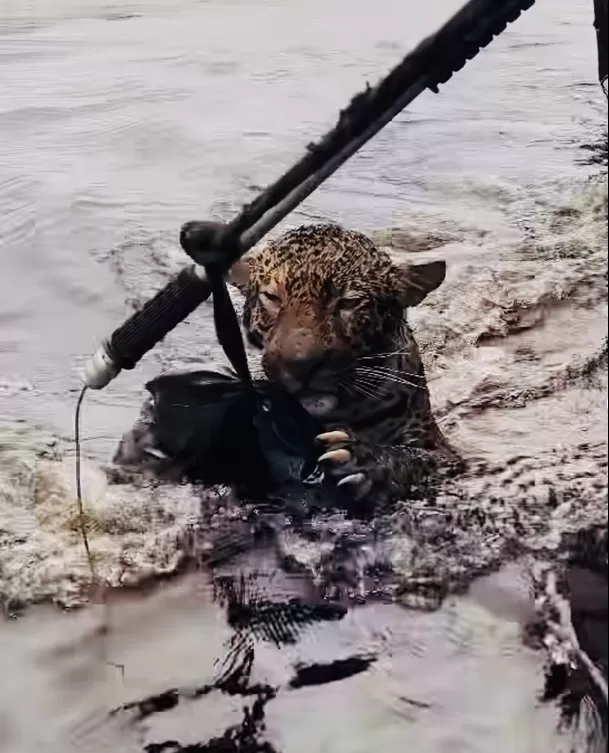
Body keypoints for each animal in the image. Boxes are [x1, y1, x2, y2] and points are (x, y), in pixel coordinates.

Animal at [227, 223, 460, 508]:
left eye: (348, 302)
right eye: (272, 297)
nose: (301, 364)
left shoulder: (444, 455)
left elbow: (417, 459)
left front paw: (363, 461)